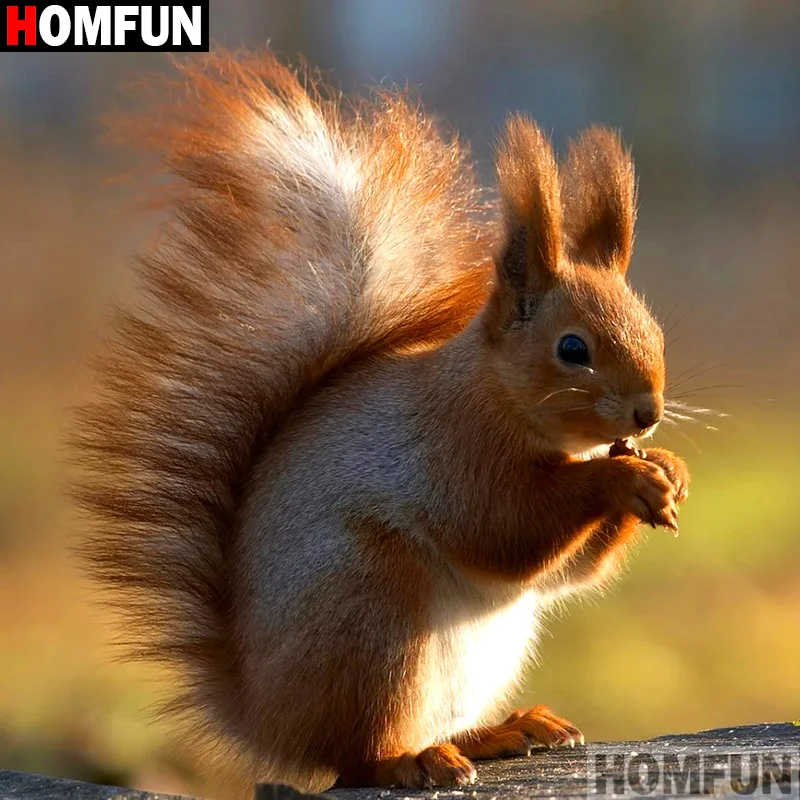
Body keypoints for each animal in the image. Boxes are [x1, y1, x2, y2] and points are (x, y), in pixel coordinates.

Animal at [72, 50, 691, 793]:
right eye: (573, 349)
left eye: (655, 328)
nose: (647, 413)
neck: (493, 394)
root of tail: (265, 717)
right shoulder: (454, 449)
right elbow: (506, 530)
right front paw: (623, 482)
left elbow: (566, 574)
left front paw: (668, 470)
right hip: (372, 606)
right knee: (357, 755)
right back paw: (412, 759)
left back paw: (500, 732)